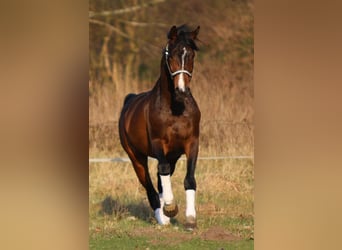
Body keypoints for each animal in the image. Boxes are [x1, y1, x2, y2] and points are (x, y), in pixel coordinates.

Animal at [119, 24, 202, 229]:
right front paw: (170, 208)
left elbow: (189, 179)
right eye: (170, 56)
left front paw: (190, 219)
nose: (182, 90)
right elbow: (162, 172)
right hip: (136, 157)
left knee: (159, 181)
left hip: (172, 155)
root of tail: (129, 100)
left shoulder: (192, 143)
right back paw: (162, 217)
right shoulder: (157, 143)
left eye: (191, 55)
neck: (175, 108)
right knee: (150, 186)